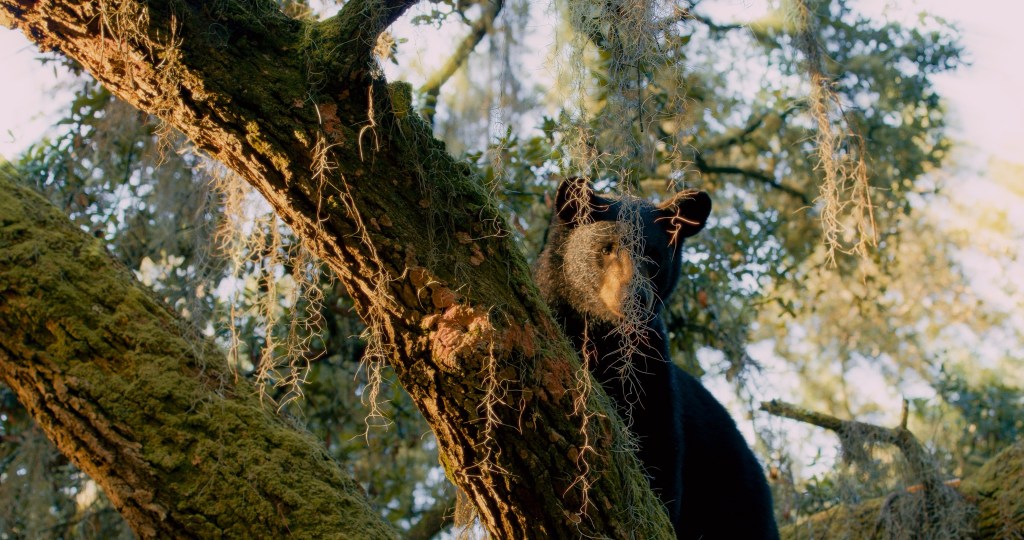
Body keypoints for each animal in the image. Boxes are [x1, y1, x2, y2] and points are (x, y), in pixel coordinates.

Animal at [534, 177, 779, 539]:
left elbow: (660, 444)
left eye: (653, 254)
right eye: (606, 248)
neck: (606, 336)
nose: (635, 297)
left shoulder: (651, 367)